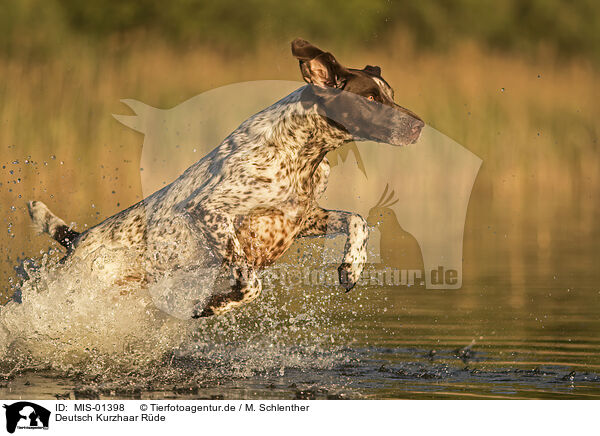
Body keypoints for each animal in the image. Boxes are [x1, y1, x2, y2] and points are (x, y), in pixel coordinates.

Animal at [27, 39, 422, 318]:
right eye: (370, 97)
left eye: (390, 94)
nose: (419, 126)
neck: (301, 153)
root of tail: (76, 240)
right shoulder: (209, 211)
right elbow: (251, 283)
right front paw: (213, 305)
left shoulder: (301, 219)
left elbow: (358, 221)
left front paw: (352, 267)